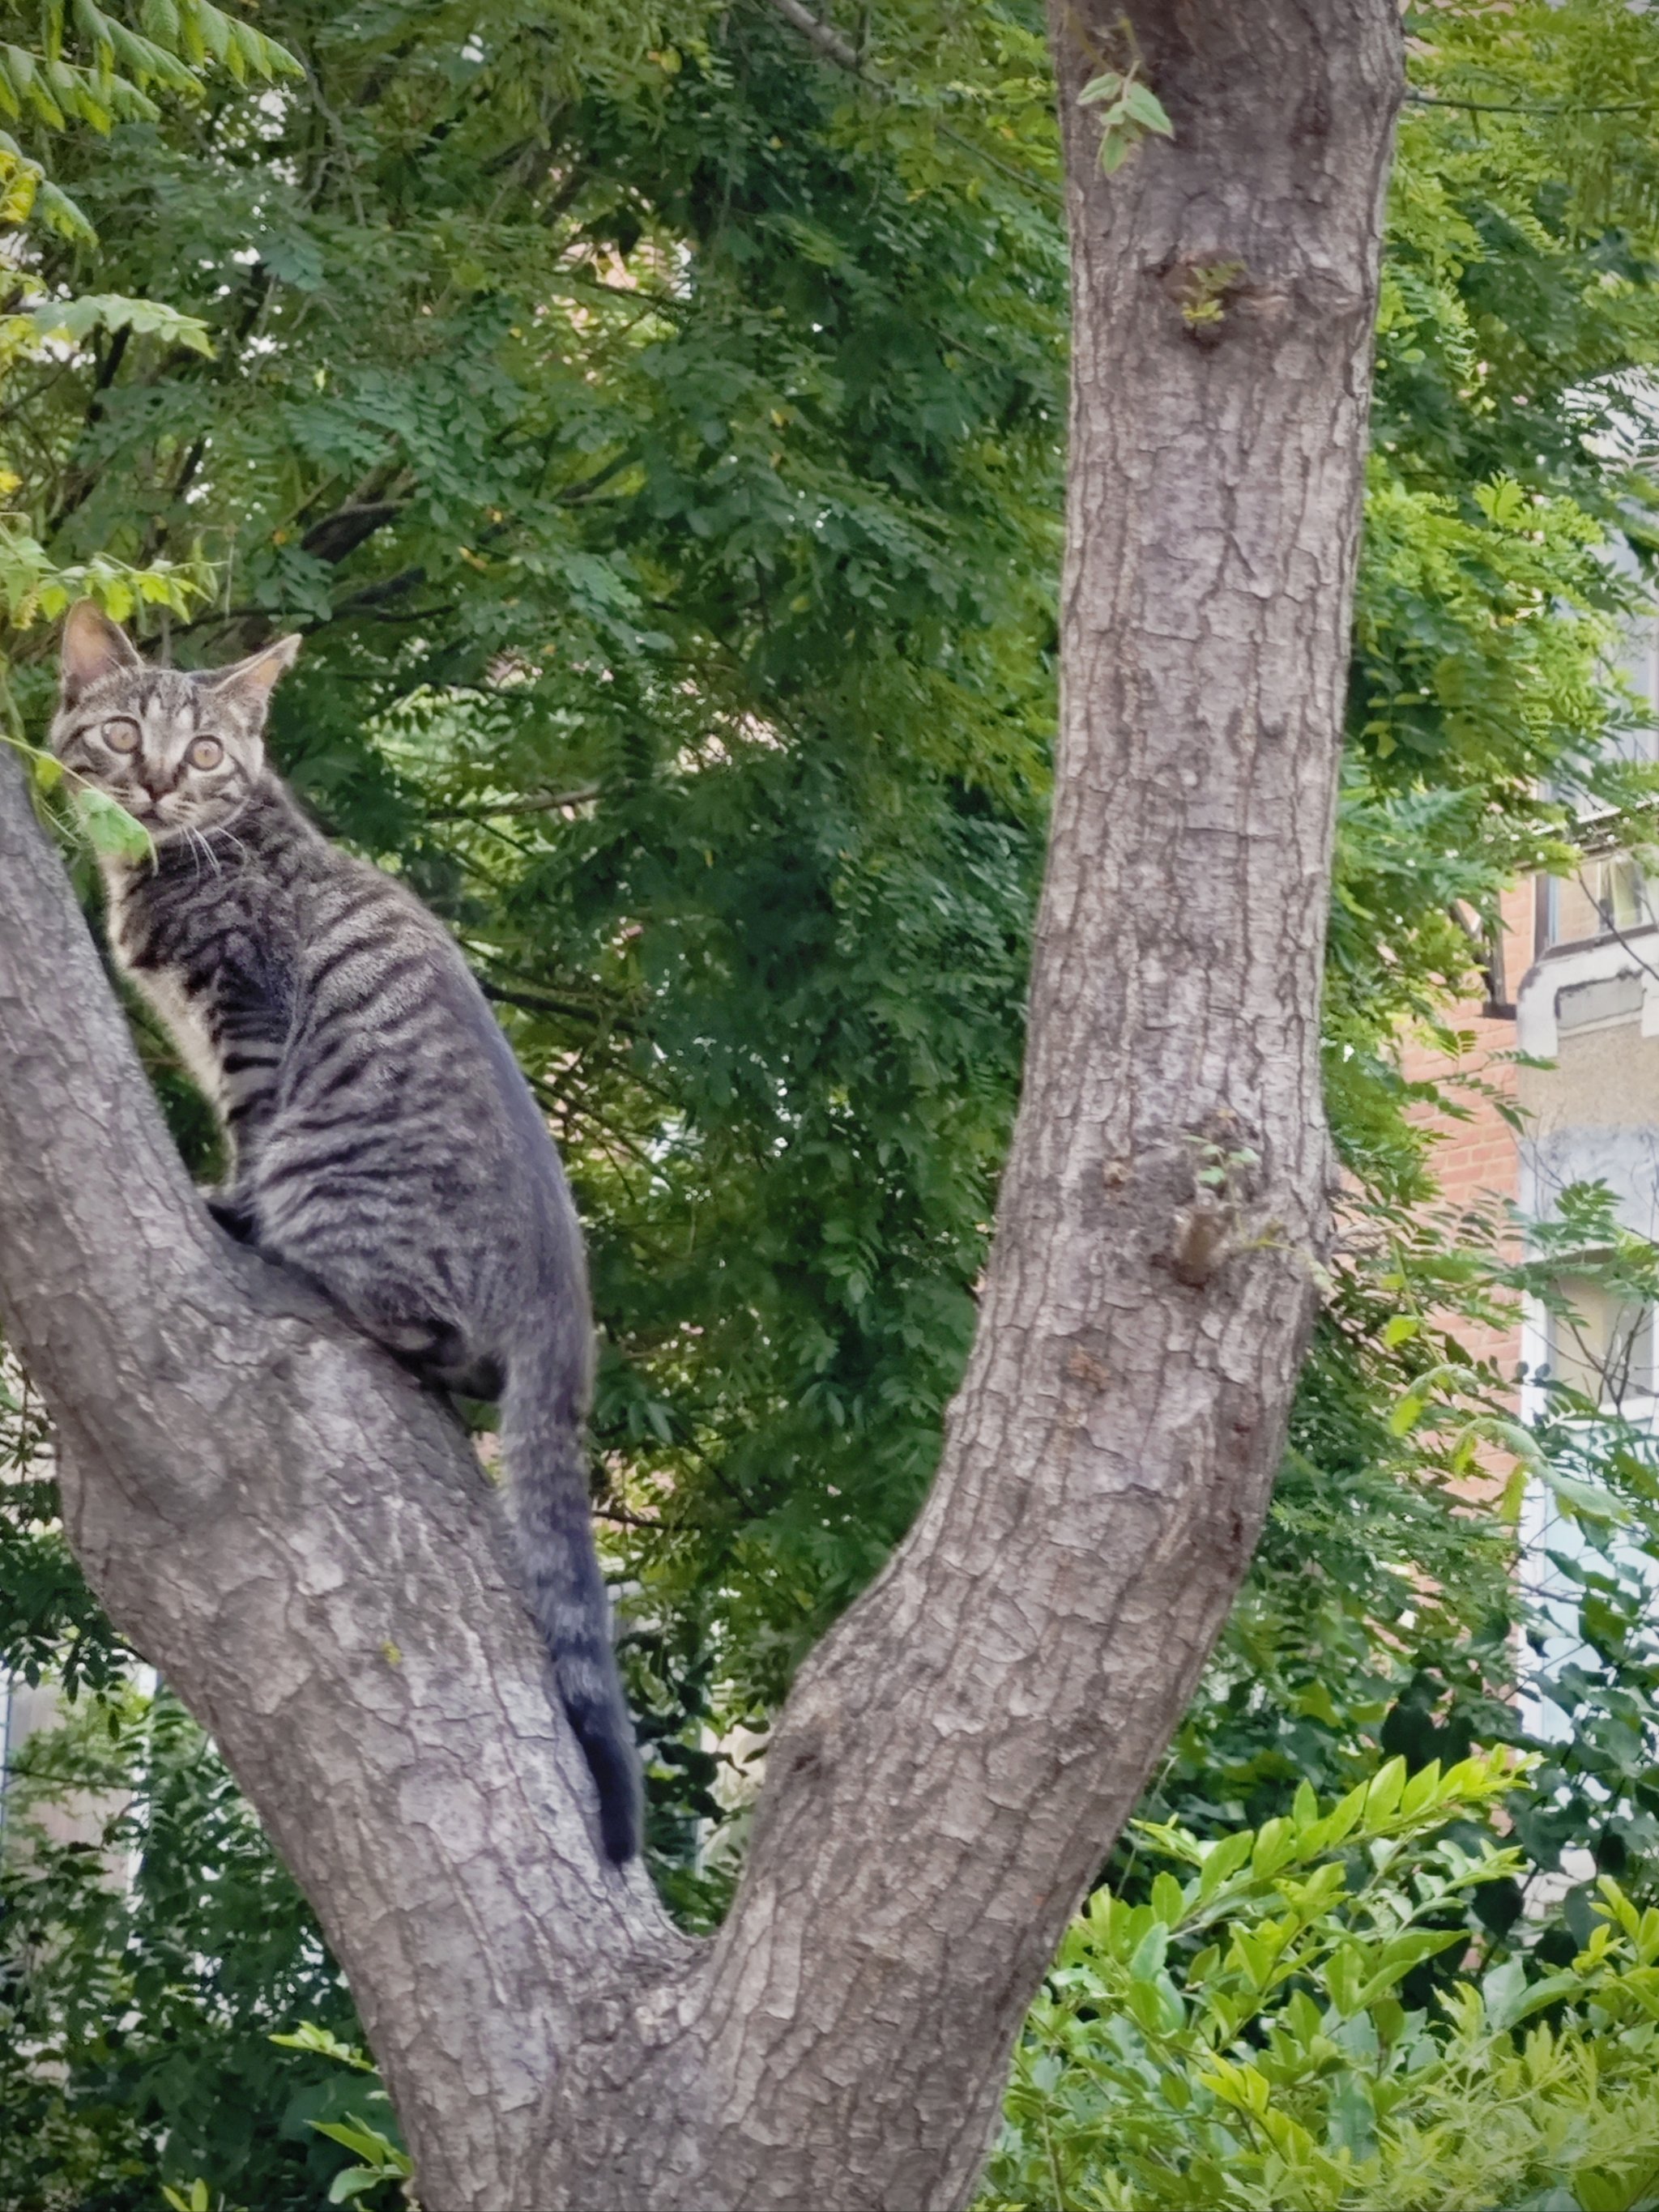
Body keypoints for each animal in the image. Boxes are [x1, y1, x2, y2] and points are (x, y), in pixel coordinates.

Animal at [53, 601, 641, 1866]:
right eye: (123, 731)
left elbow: (248, 1126)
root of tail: (566, 1303)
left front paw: (229, 1199)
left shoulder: (251, 1018)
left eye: (206, 752)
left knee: (438, 1337)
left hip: (342, 1184)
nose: (162, 780)